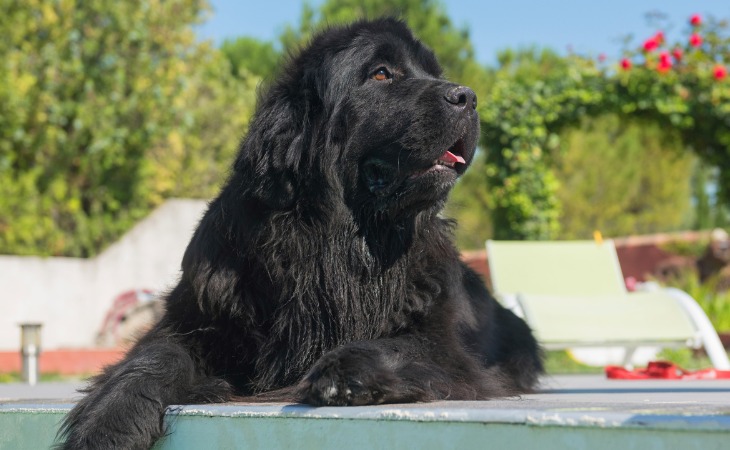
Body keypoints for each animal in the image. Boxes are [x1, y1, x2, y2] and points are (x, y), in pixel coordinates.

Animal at [61, 18, 540, 450]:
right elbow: (156, 354)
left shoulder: (445, 343)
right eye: (381, 73)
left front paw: (344, 372)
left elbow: (402, 344)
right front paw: (111, 421)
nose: (468, 96)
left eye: (433, 72)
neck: (343, 240)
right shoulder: (198, 315)